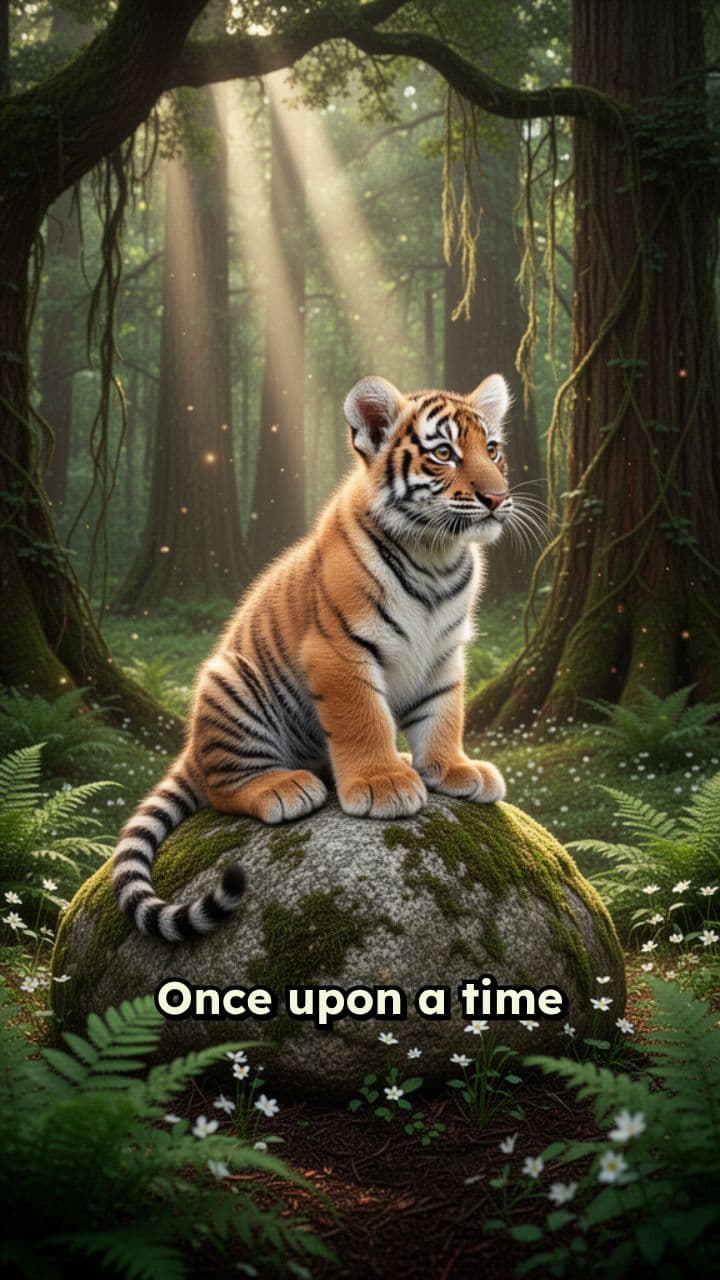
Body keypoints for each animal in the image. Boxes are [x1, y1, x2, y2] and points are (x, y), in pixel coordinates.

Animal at [112, 372, 515, 942]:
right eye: (444, 454)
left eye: (493, 449)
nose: (497, 497)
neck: (436, 555)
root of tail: (190, 748)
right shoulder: (339, 650)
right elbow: (363, 719)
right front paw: (383, 783)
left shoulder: (445, 654)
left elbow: (444, 714)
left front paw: (453, 769)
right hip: (230, 685)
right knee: (220, 784)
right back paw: (285, 787)